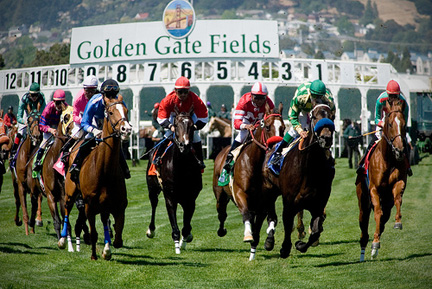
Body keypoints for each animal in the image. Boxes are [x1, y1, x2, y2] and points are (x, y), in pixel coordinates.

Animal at [58, 94, 132, 258]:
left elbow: (118, 237)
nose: (126, 129)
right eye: (110, 112)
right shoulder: (89, 205)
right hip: (70, 192)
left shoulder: (118, 205)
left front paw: (107, 250)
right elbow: (93, 233)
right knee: (66, 209)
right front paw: (94, 256)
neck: (104, 170)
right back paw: (62, 240)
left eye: (126, 110)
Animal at [146, 105, 203, 252]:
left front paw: (186, 238)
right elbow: (174, 221)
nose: (185, 145)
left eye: (192, 126)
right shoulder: (170, 195)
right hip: (152, 188)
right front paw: (177, 244)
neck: (181, 167)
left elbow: (187, 224)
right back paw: (151, 230)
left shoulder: (191, 197)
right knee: (153, 204)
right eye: (176, 125)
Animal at [213, 102, 286, 260]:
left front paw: (257, 248)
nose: (277, 147)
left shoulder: (264, 201)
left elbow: (260, 227)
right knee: (222, 214)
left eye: (283, 128)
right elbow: (245, 214)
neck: (253, 164)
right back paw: (221, 231)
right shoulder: (240, 194)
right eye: (267, 127)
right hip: (220, 195)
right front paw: (248, 236)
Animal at [258, 102, 336, 258]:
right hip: (269, 190)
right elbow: (287, 223)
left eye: (332, 116)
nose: (326, 138)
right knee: (272, 215)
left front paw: (301, 244)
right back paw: (269, 241)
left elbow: (316, 230)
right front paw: (285, 248)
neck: (310, 167)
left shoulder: (318, 205)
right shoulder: (289, 201)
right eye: (314, 116)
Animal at [354, 98, 408, 260]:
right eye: (390, 124)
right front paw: (375, 244)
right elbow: (378, 213)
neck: (388, 159)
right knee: (364, 224)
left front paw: (398, 222)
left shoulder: (399, 183)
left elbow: (398, 200)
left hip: (386, 203)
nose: (399, 150)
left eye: (404, 124)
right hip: (363, 202)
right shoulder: (374, 189)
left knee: (384, 218)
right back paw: (364, 251)